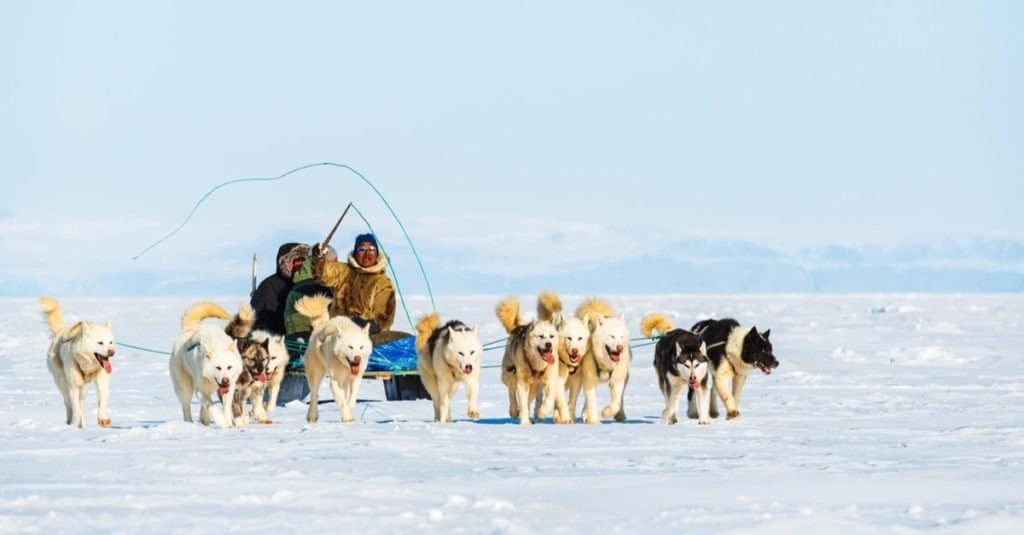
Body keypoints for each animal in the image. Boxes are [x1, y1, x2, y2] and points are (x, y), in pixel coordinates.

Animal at [38, 293, 116, 426]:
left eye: (110, 342)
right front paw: (74, 424)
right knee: (68, 402)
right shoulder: (73, 385)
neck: (87, 364)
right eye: (100, 343)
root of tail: (61, 331)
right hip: (62, 382)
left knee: (81, 402)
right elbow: (75, 406)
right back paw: (71, 421)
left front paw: (102, 418)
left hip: (84, 387)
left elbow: (102, 398)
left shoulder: (101, 378)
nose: (112, 352)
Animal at [292, 293, 372, 422]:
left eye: (361, 347)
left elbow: (351, 398)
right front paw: (347, 418)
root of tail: (320, 325)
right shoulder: (335, 381)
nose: (357, 358)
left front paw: (350, 410)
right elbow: (342, 402)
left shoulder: (356, 378)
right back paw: (312, 416)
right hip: (316, 374)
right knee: (314, 395)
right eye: (350, 347)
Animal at [536, 289, 593, 422]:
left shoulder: (576, 381)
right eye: (569, 338)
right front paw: (566, 418)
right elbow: (561, 402)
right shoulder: (558, 381)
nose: (574, 350)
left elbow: (572, 400)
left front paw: (569, 416)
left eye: (580, 338)